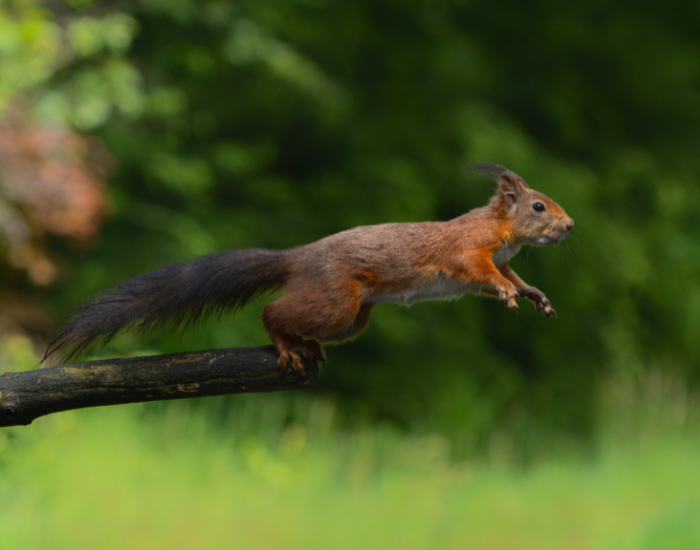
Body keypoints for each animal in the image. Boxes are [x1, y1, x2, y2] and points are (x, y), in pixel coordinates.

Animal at [45, 163, 573, 372]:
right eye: (539, 206)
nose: (570, 226)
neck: (501, 231)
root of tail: (298, 257)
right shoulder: (468, 250)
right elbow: (481, 274)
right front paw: (509, 294)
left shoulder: (496, 261)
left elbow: (506, 278)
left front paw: (531, 294)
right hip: (336, 303)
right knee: (271, 313)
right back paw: (286, 344)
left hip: (351, 319)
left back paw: (307, 345)